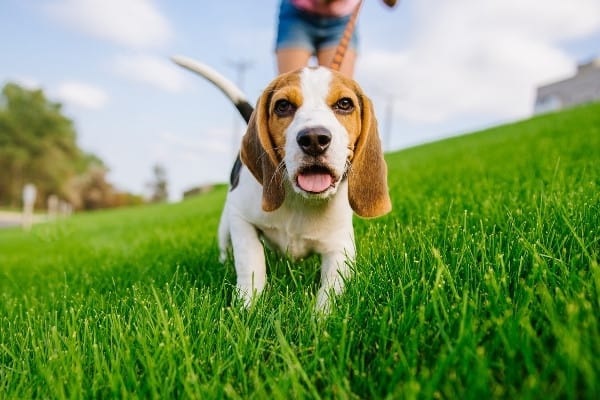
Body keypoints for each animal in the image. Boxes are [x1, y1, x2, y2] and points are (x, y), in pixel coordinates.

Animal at [218, 65, 392, 310]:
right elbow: (250, 260)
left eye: (345, 103)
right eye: (283, 106)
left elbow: (331, 289)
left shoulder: (341, 247)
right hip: (225, 225)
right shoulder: (240, 218)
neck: (300, 200)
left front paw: (321, 315)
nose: (314, 139)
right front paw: (247, 305)